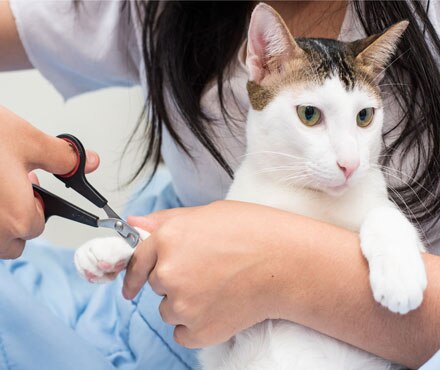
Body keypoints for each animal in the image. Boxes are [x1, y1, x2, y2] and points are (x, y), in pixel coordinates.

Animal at [75, 3, 426, 370]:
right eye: (310, 114)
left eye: (364, 117)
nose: (350, 164)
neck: (302, 196)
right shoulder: (218, 344)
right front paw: (110, 247)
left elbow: (384, 214)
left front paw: (400, 277)